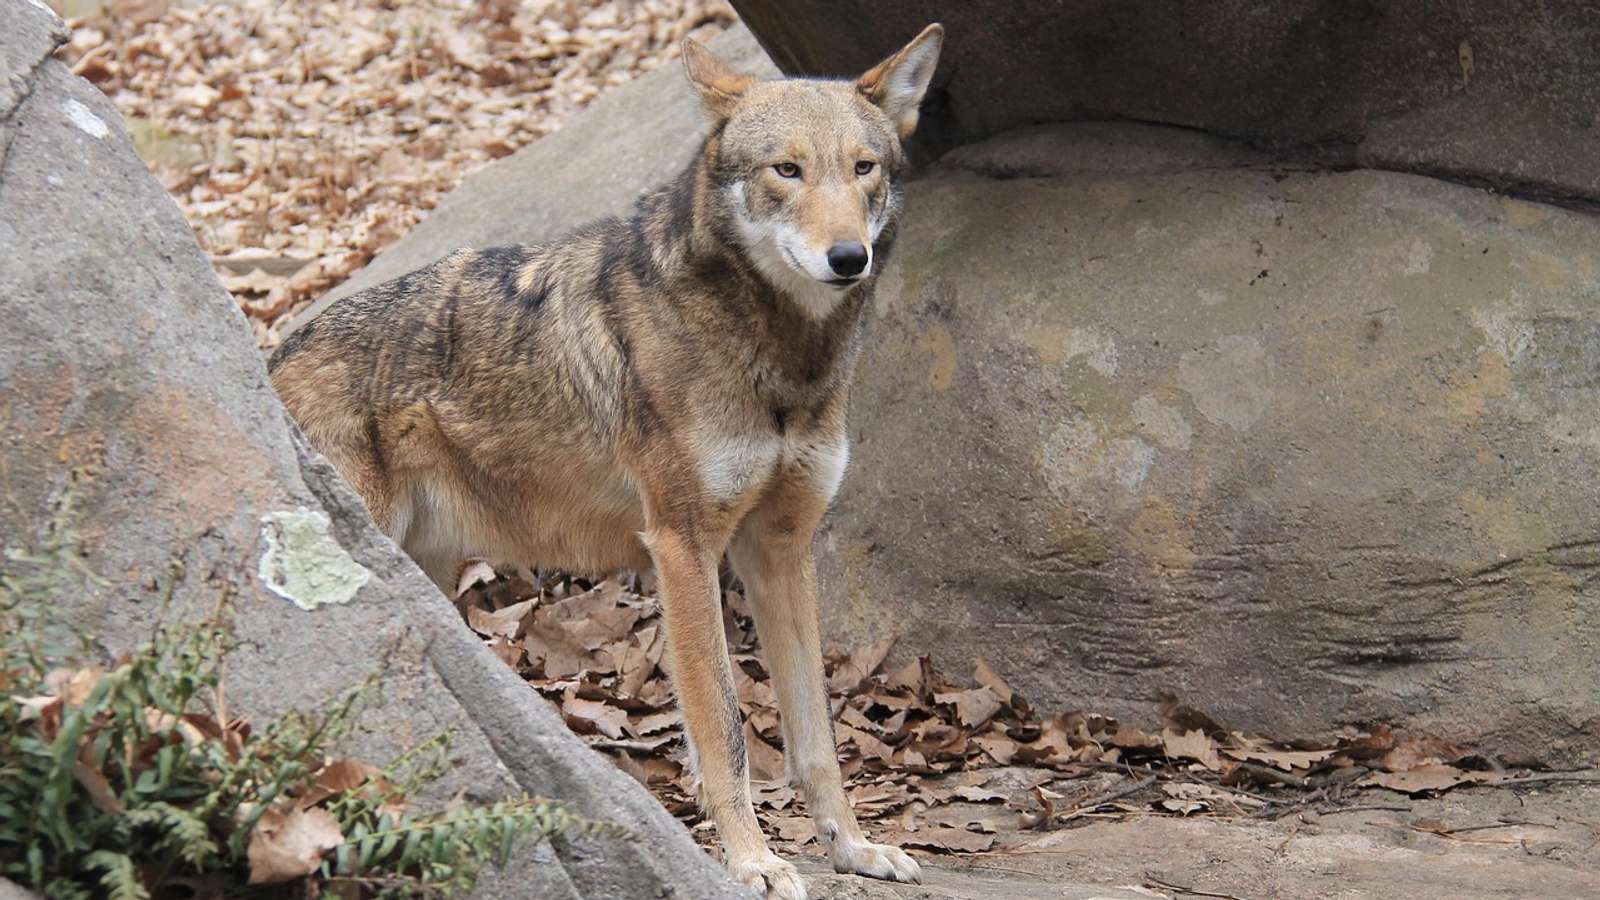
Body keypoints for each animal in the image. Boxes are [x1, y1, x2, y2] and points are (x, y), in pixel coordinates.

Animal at [268, 24, 944, 899]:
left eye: (862, 167)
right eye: (785, 170)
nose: (847, 257)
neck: (781, 358)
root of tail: (272, 353)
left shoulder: (780, 553)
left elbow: (817, 737)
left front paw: (853, 847)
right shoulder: (684, 549)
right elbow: (723, 728)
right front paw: (754, 860)